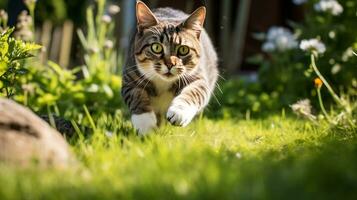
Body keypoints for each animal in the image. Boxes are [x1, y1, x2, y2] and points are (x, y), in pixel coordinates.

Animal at [121, 0, 217, 135]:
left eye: (183, 49)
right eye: (156, 47)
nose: (170, 64)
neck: (163, 82)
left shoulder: (198, 78)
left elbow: (194, 92)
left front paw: (179, 112)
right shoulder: (130, 77)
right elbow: (136, 95)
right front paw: (145, 124)